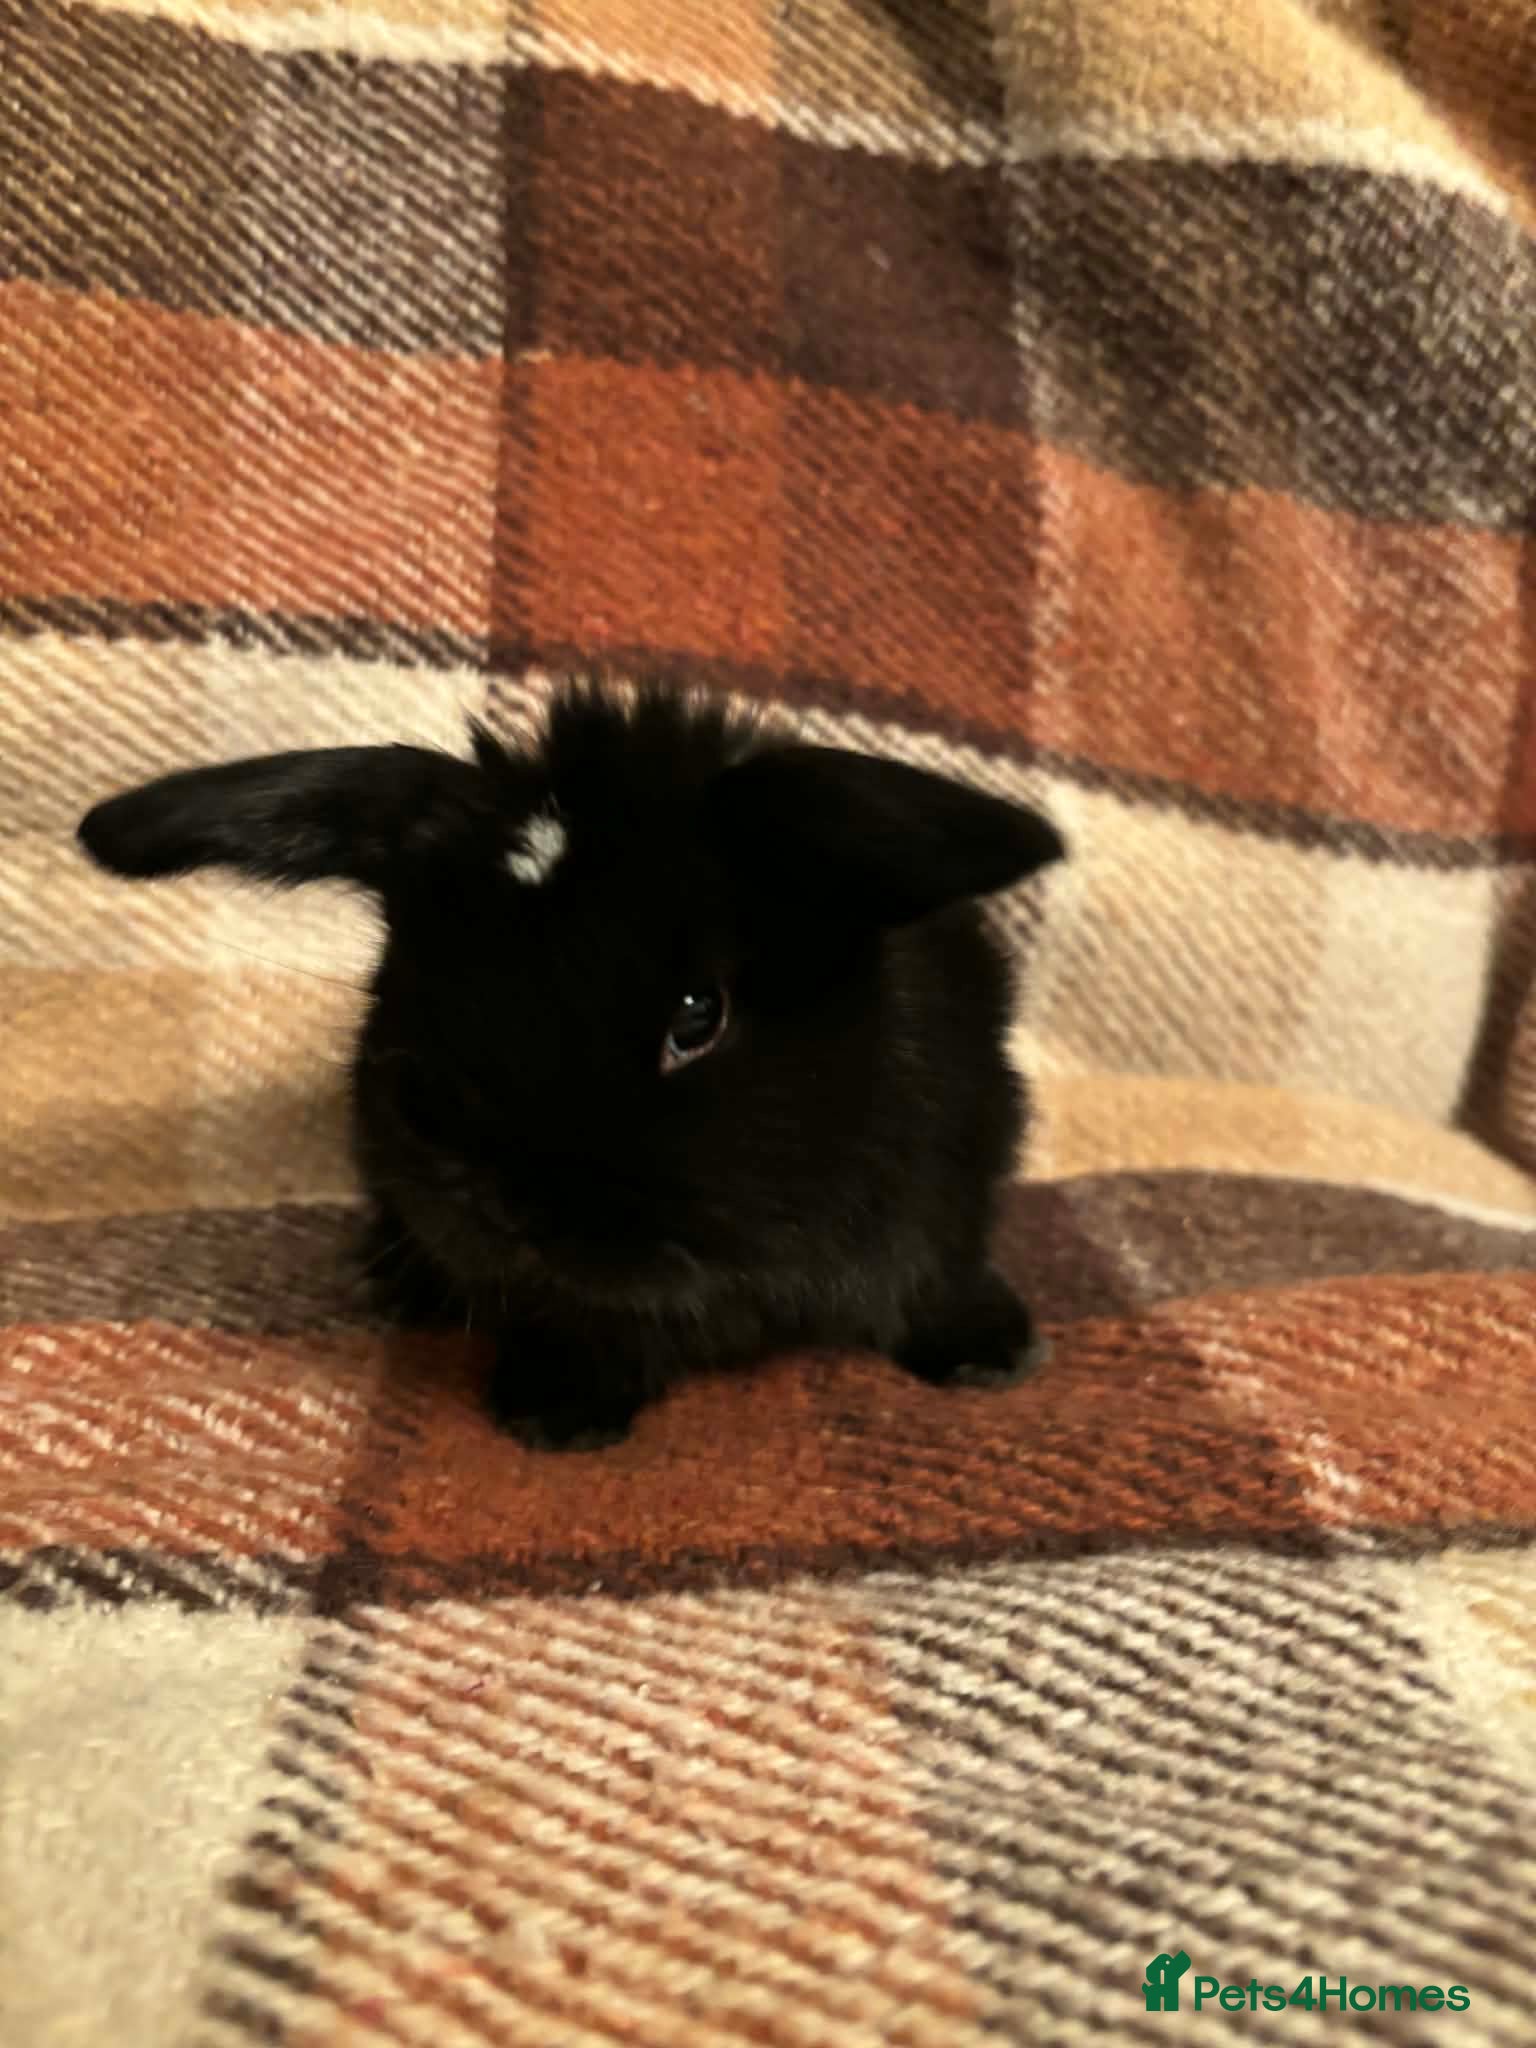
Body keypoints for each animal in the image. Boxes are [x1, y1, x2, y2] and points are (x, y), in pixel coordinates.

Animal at [77, 677, 1066, 1450]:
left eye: (698, 1014)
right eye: (410, 979)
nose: (508, 1208)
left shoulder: (948, 1184)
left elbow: (937, 1279)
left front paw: (993, 1358)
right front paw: (556, 1417)